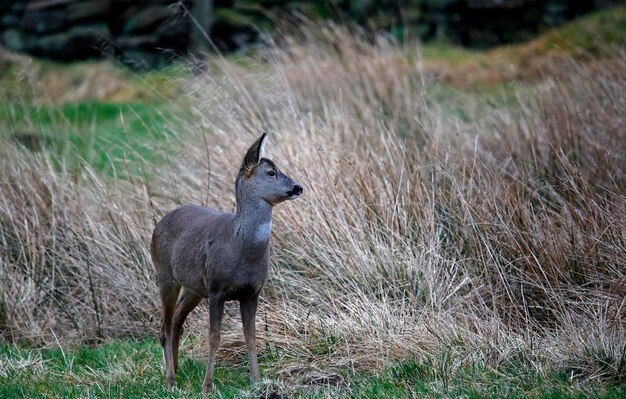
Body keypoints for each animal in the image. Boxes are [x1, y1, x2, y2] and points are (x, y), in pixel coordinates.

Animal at [149, 133, 300, 392]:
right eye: (271, 172)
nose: (298, 187)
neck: (239, 247)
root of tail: (159, 223)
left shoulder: (252, 292)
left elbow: (252, 337)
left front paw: (256, 381)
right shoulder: (217, 289)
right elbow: (214, 337)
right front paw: (207, 386)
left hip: (194, 287)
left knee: (177, 320)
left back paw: (176, 370)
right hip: (165, 274)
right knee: (165, 325)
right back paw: (169, 379)